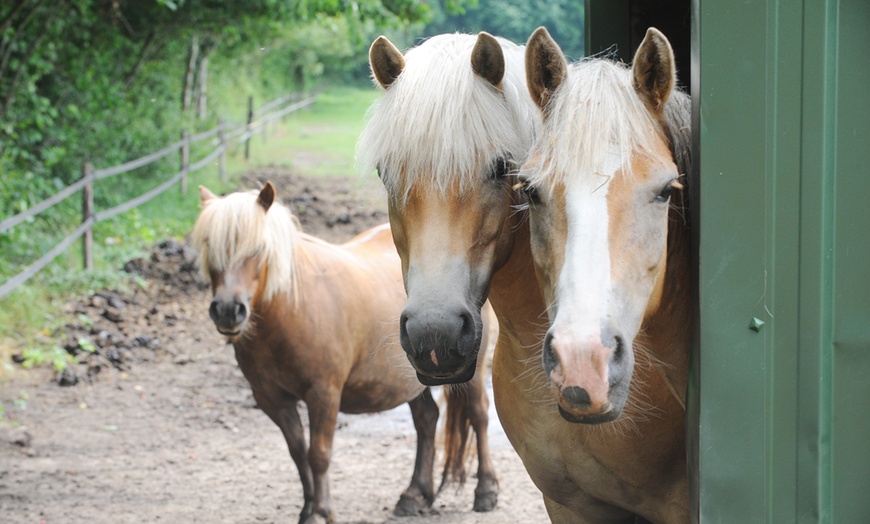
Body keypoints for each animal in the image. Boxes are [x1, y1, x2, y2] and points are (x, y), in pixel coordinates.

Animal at [192, 181, 498, 524]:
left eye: (257, 249)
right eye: (209, 246)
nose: (227, 311)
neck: (291, 309)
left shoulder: (323, 394)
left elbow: (319, 455)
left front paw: (321, 512)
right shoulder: (274, 401)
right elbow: (299, 455)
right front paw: (308, 510)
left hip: (471, 373)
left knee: (479, 414)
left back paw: (485, 491)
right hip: (413, 379)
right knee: (426, 420)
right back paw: (415, 494)